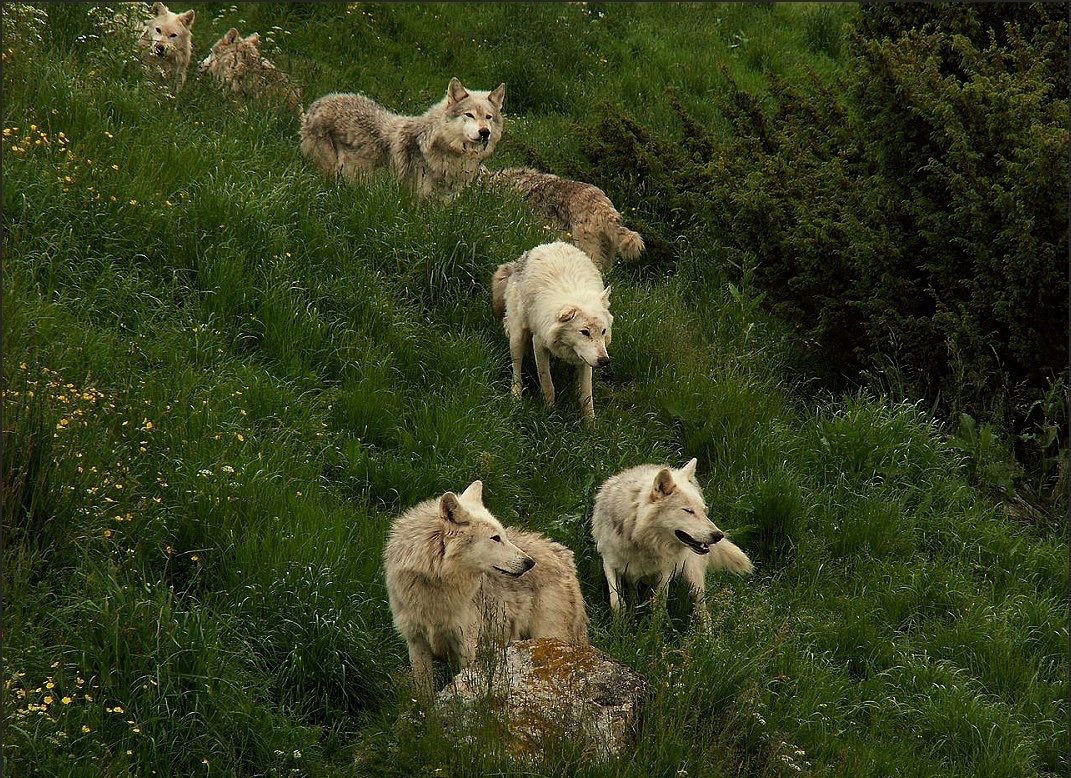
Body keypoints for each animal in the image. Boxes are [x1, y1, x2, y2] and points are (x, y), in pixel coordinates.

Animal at [383, 484, 591, 690]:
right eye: (495, 538)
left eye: (503, 536)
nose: (530, 563)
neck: (434, 584)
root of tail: (563, 556)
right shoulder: (416, 642)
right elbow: (424, 690)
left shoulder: (467, 644)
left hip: (548, 637)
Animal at [490, 244, 612, 426]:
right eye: (584, 332)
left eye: (603, 331)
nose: (604, 361)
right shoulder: (539, 344)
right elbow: (547, 383)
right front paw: (550, 413)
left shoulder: (586, 359)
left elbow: (586, 395)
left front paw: (591, 427)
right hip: (517, 338)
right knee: (516, 370)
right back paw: (516, 398)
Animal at [586, 456, 753, 634]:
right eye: (688, 511)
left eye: (703, 511)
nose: (718, 536)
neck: (642, 540)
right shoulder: (609, 563)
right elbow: (617, 603)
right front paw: (619, 630)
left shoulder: (665, 572)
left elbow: (658, 609)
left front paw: (653, 635)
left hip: (693, 575)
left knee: (702, 608)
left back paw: (707, 637)